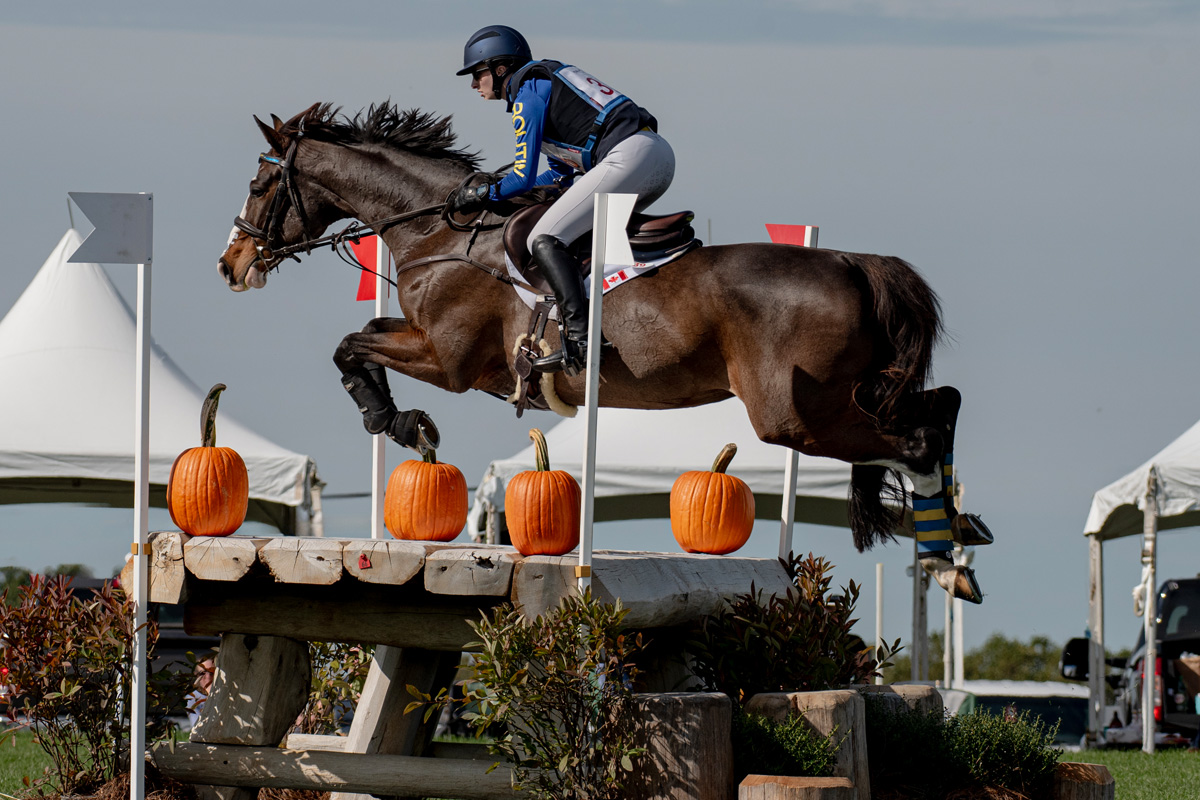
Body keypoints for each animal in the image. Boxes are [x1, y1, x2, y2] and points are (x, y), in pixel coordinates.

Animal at [217, 102, 992, 602]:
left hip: (794, 414)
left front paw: (398, 423)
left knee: (917, 438)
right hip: (843, 394)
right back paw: (956, 537)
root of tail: (852, 262)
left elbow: (350, 348)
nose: (231, 264)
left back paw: (943, 557)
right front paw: (402, 422)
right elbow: (356, 344)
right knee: (939, 406)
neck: (442, 231)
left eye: (259, 184)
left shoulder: (449, 360)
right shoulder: (436, 348)